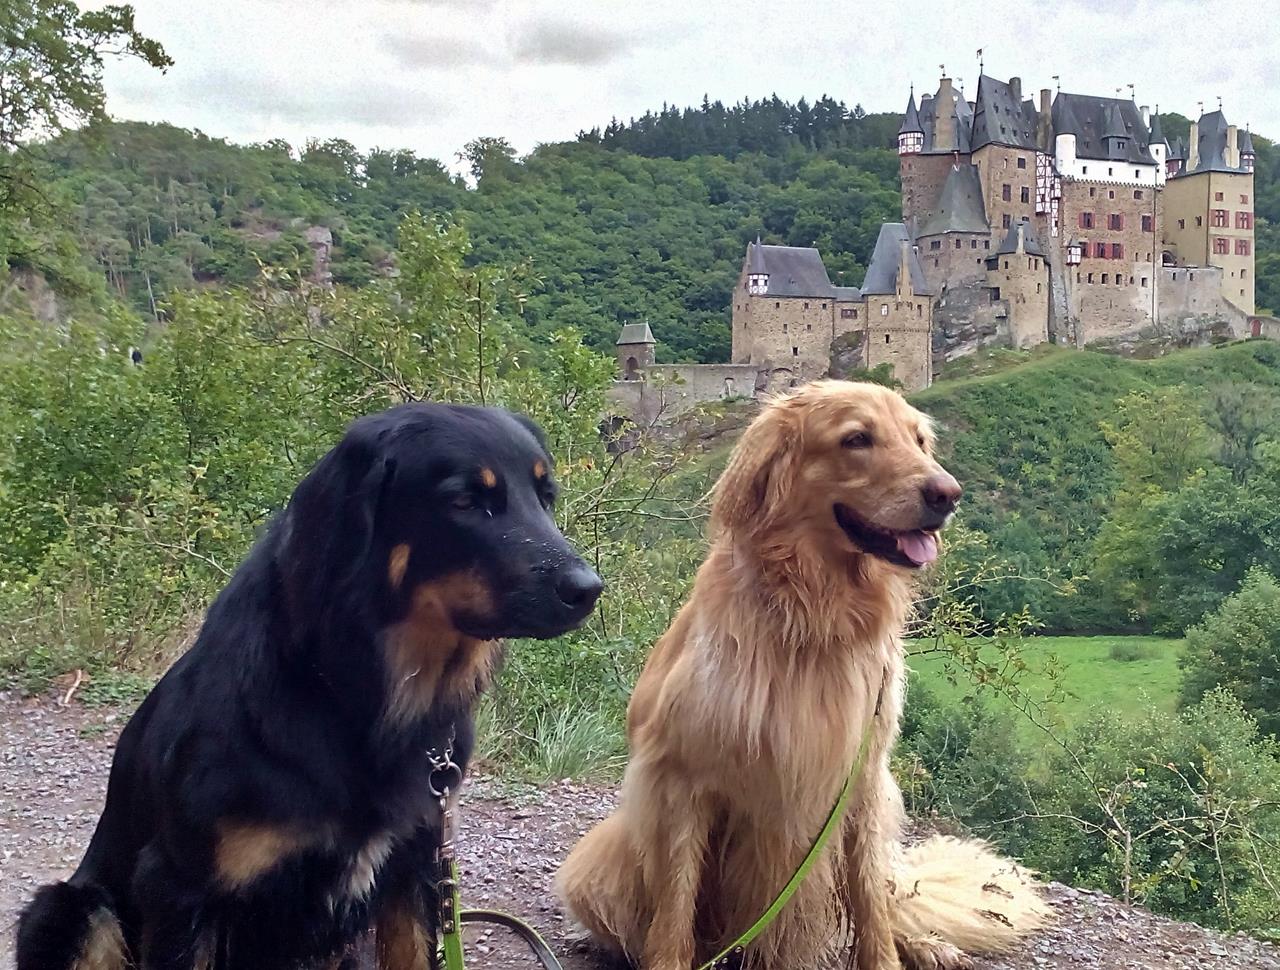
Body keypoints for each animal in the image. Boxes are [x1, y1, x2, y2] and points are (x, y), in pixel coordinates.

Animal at [18, 402, 602, 970]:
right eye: (465, 501)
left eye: (545, 497)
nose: (588, 590)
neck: (351, 696)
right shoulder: (179, 887)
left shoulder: (415, 864)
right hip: (70, 908)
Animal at [557, 381, 1047, 970]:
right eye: (857, 439)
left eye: (919, 440)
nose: (948, 494)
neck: (814, 615)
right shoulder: (680, 779)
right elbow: (674, 911)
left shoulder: (862, 777)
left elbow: (870, 903)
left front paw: (888, 955)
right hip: (598, 860)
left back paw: (928, 945)